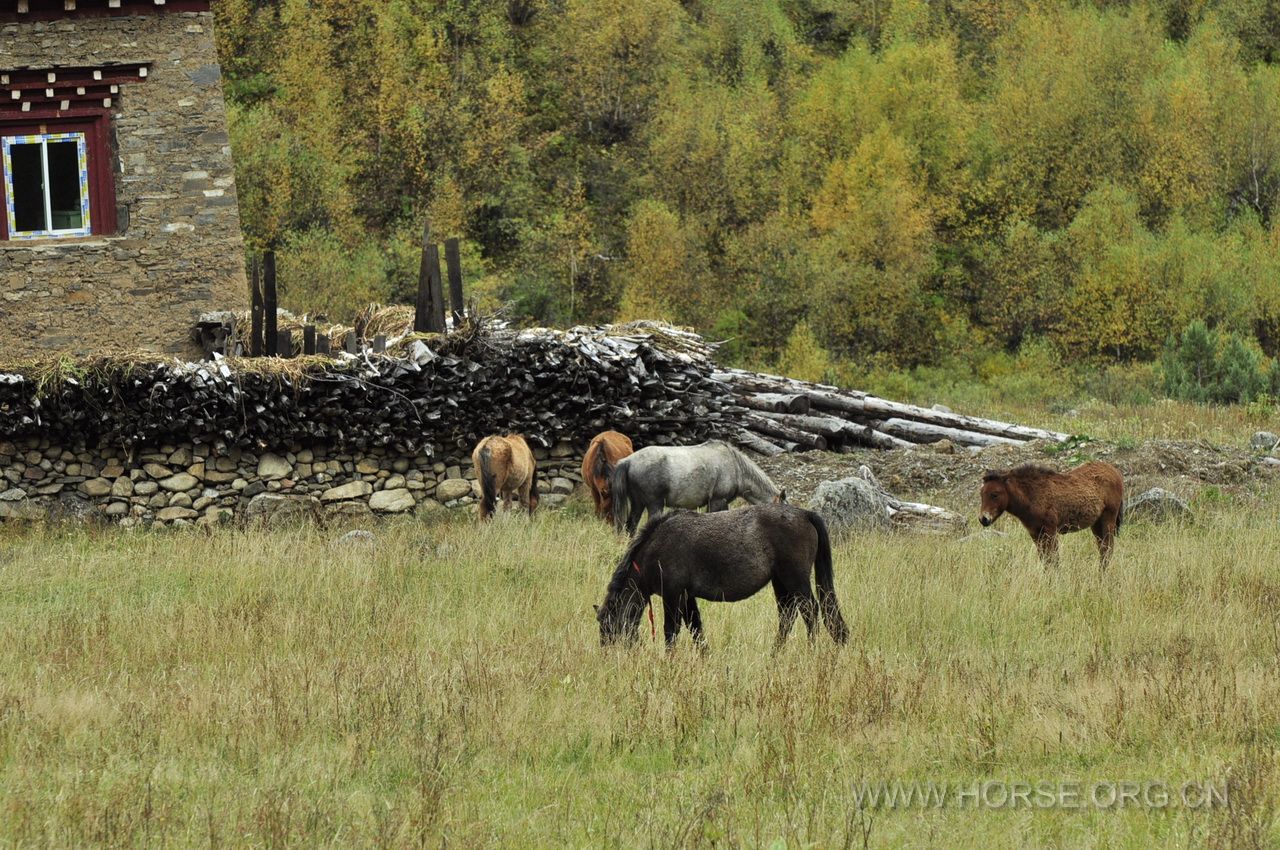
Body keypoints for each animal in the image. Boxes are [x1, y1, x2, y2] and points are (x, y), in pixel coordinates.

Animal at [591, 504, 849, 650]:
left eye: (608, 628)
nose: (607, 657)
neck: (655, 548)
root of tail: (804, 514)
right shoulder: (687, 597)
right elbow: (695, 628)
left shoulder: (673, 595)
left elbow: (671, 630)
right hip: (781, 582)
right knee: (787, 615)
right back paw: (776, 653)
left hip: (795, 579)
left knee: (809, 611)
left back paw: (811, 649)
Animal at [606, 440, 778, 535]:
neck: (736, 467)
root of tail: (628, 461)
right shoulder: (717, 501)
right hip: (654, 505)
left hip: (638, 504)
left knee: (630, 527)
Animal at [977, 460, 1121, 568]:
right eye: (981, 494)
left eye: (995, 494)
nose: (983, 519)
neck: (1033, 496)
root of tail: (1115, 471)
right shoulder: (1035, 533)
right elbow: (1045, 560)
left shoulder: (1050, 531)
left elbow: (1054, 559)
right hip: (1096, 524)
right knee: (1102, 549)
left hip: (1108, 519)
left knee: (1108, 549)